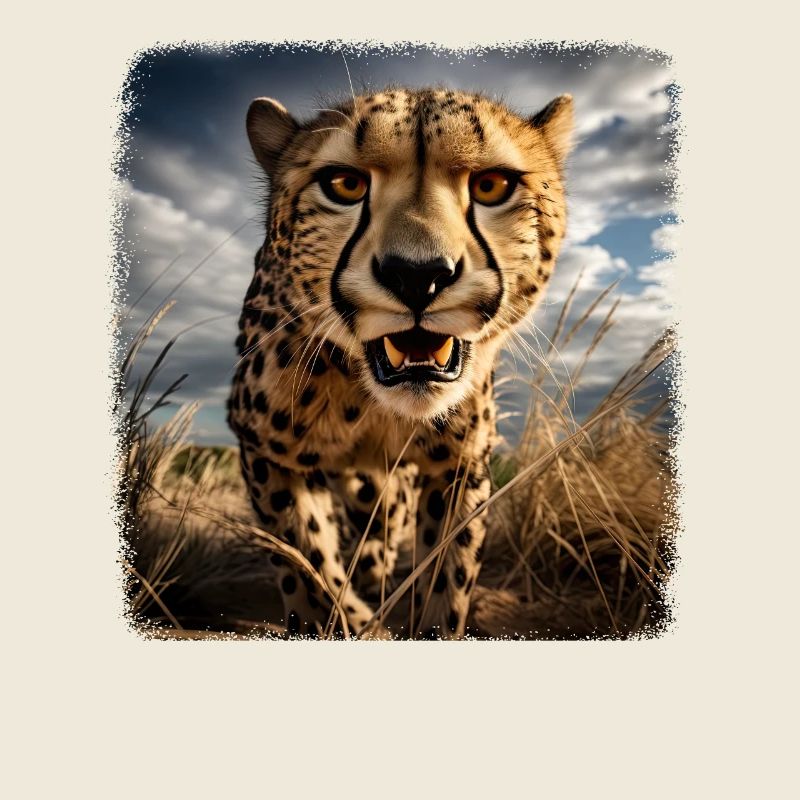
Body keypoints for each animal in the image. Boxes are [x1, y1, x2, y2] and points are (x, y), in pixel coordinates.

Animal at [227, 86, 573, 639]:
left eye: (492, 186)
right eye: (344, 185)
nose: (418, 275)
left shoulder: (460, 465)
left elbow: (448, 573)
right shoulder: (265, 451)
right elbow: (305, 557)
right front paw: (344, 621)